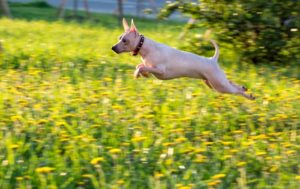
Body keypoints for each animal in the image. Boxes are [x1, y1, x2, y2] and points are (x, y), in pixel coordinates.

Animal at [111, 18, 254, 99]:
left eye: (124, 40)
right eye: (119, 38)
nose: (113, 48)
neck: (146, 48)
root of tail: (212, 59)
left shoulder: (160, 71)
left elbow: (142, 67)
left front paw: (138, 73)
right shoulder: (150, 67)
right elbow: (141, 66)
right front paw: (141, 73)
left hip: (219, 85)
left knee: (235, 90)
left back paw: (248, 95)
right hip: (214, 83)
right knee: (232, 83)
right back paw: (244, 88)